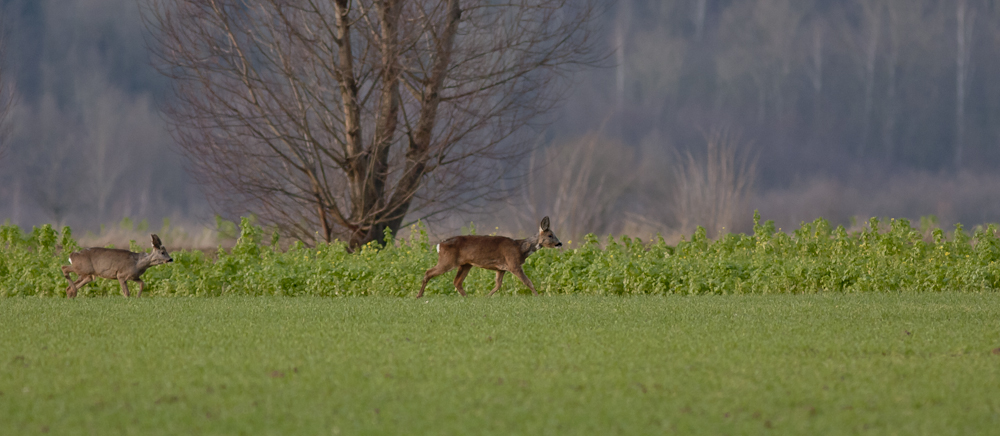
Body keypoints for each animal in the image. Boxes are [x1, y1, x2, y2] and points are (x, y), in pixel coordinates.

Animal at [416, 216, 564, 298]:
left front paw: (486, 296)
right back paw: (419, 296)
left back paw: (468, 298)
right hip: (447, 260)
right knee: (428, 272)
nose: (559, 243)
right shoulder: (513, 264)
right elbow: (528, 282)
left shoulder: (501, 268)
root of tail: (439, 245)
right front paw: (538, 296)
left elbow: (498, 285)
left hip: (465, 264)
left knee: (457, 282)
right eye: (550, 235)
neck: (520, 248)